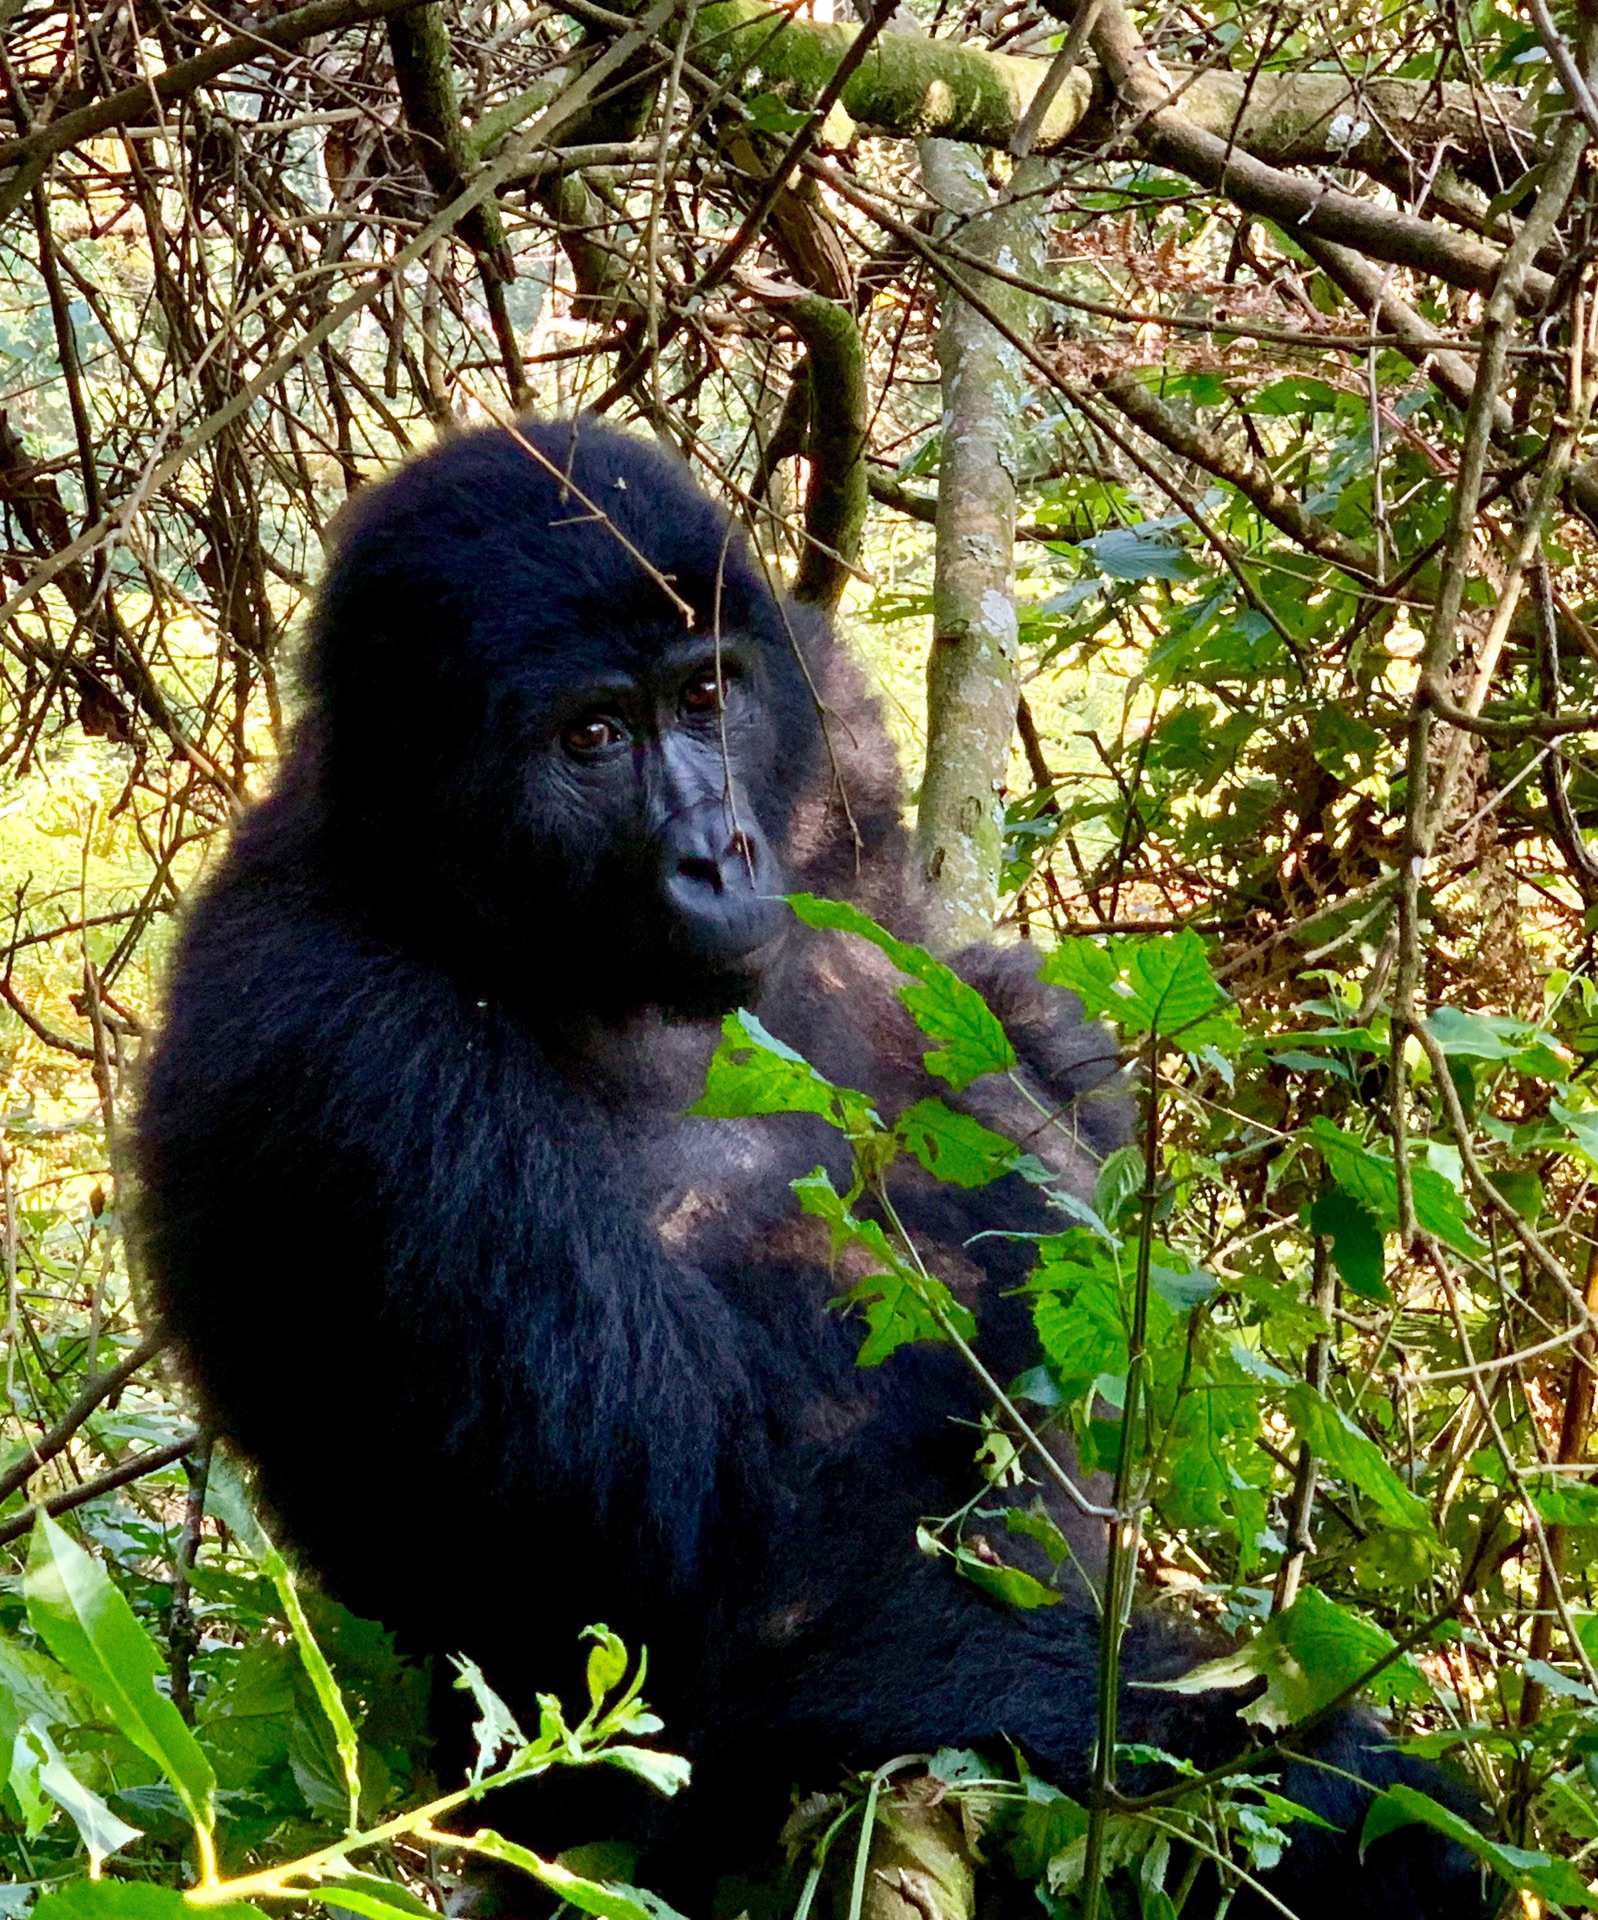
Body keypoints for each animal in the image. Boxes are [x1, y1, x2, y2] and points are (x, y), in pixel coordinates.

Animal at [137, 412, 1482, 1912]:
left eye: (707, 698)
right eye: (591, 737)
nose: (717, 853)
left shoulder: (821, 708)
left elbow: (988, 1013)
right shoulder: (348, 1060)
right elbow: (740, 1612)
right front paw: (1310, 1786)